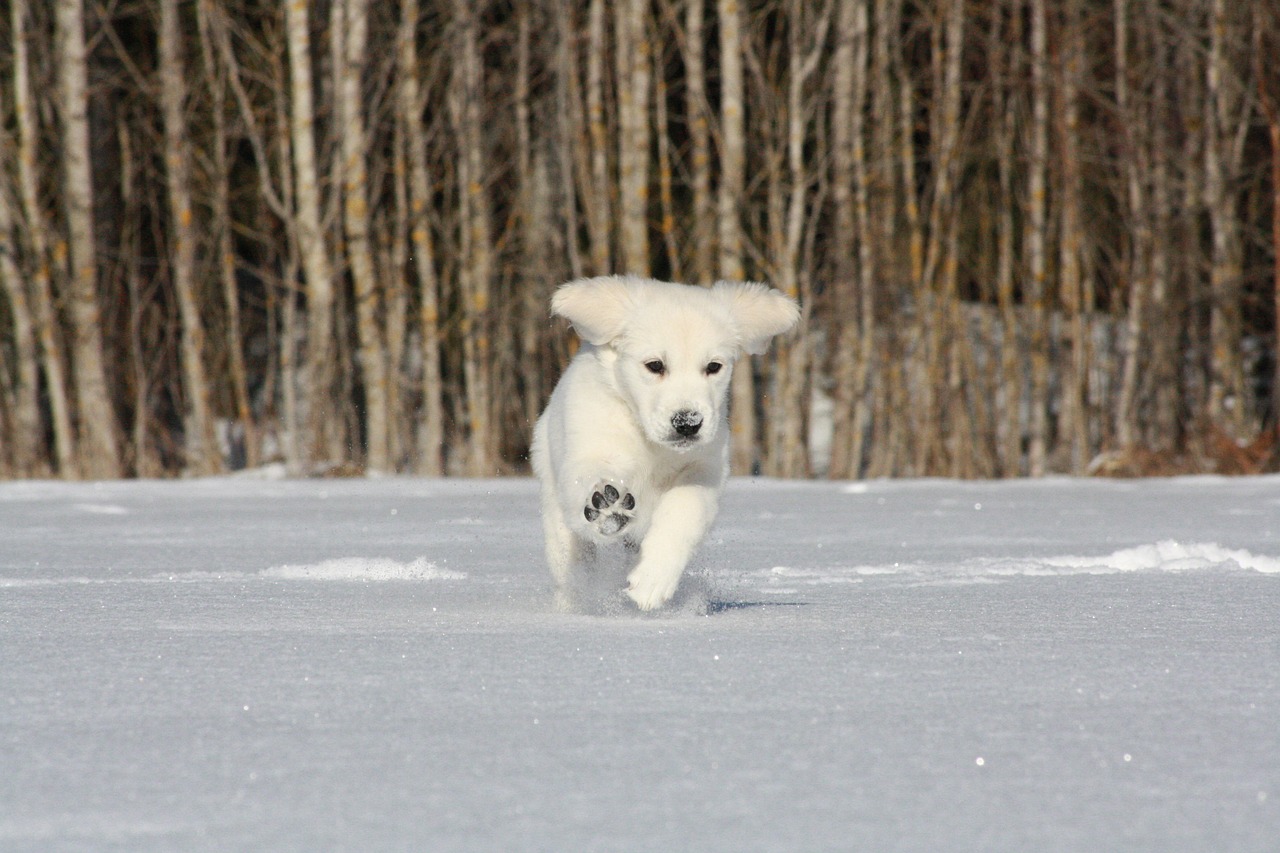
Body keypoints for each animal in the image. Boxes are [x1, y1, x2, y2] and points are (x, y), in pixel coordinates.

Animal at [527, 275, 788, 607]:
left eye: (713, 367)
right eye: (655, 365)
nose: (688, 423)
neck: (650, 441)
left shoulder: (705, 468)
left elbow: (684, 510)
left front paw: (652, 580)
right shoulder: (591, 445)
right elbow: (591, 474)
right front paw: (606, 506)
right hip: (555, 509)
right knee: (571, 563)